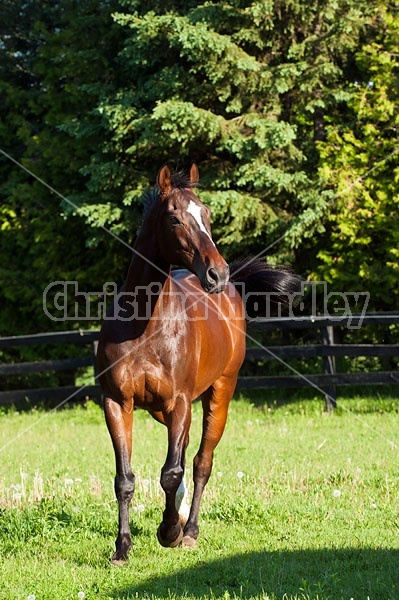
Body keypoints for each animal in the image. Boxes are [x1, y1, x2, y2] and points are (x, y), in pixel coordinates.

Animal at [97, 163, 300, 564]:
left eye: (206, 215)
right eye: (175, 218)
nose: (217, 273)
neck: (145, 326)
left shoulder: (179, 403)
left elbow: (171, 472)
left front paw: (168, 532)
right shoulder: (117, 403)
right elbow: (125, 479)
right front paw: (122, 548)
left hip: (218, 395)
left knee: (201, 462)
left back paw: (188, 530)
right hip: (166, 410)